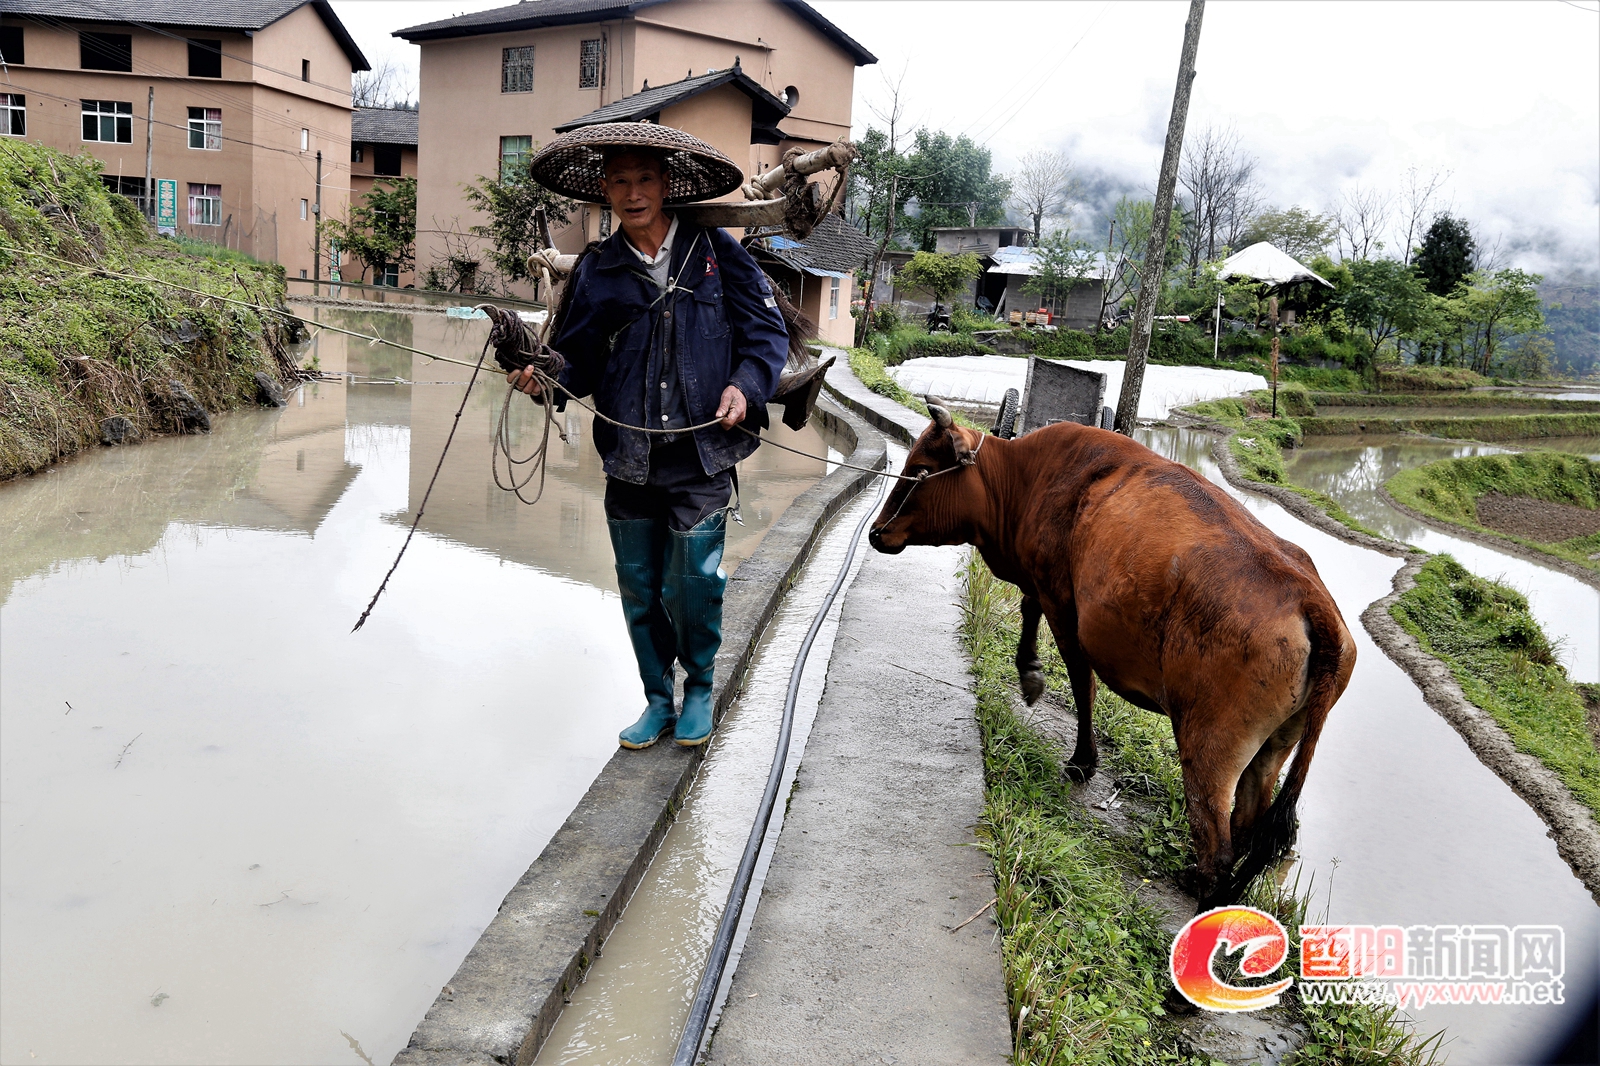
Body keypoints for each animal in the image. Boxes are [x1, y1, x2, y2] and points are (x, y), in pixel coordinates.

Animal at [870, 400, 1356, 902]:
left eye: (922, 470)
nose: (877, 532)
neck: (1024, 477)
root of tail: (1311, 598)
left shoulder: (1062, 601)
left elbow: (1081, 682)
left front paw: (1082, 758)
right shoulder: (1043, 583)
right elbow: (1028, 609)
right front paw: (1030, 671)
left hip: (1210, 744)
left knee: (1219, 846)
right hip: (1274, 747)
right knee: (1247, 825)